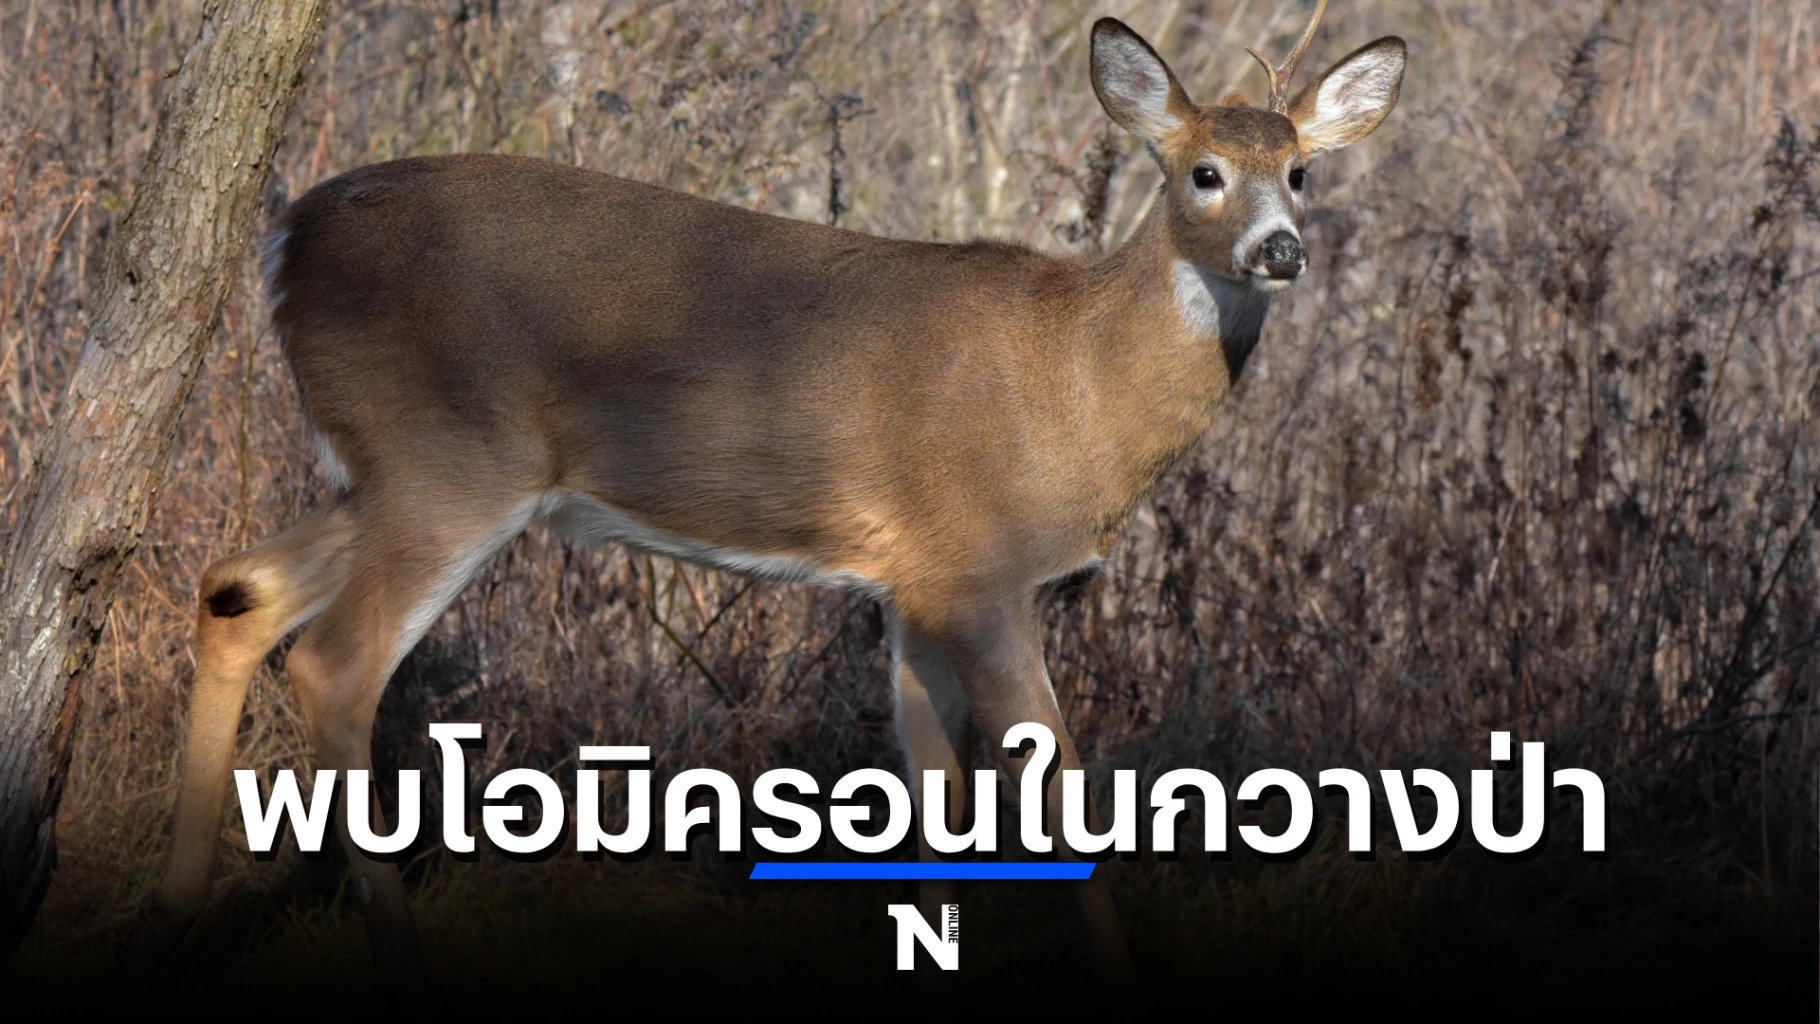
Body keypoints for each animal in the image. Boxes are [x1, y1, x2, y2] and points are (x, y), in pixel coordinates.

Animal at [126, 3, 1403, 984]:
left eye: (1300, 170)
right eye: (1202, 172)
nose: (1282, 249)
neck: (1074, 385)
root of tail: (282, 241)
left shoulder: (914, 585)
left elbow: (936, 800)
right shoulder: (982, 572)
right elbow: (1053, 798)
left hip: (383, 473)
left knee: (237, 587)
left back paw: (173, 906)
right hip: (448, 459)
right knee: (334, 662)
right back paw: (398, 959)